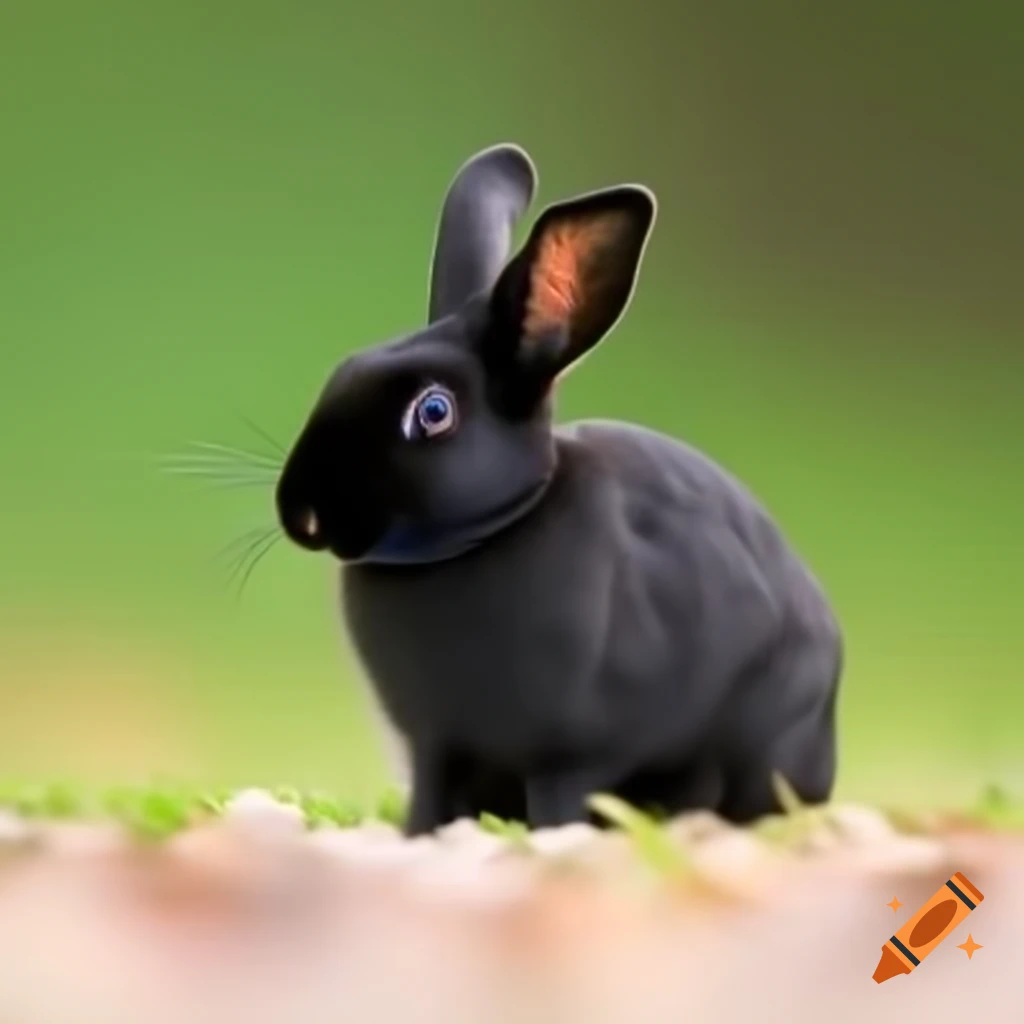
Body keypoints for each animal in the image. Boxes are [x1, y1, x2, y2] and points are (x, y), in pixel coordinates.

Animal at [275, 143, 843, 836]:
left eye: (433, 411)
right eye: (342, 371)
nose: (301, 513)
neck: (487, 531)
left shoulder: (570, 753)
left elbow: (559, 796)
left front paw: (551, 840)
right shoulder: (436, 745)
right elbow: (430, 795)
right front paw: (416, 837)